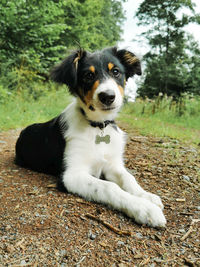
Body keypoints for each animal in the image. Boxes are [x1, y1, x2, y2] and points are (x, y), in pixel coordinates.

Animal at [15, 47, 166, 227]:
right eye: (88, 75)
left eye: (116, 72)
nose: (107, 96)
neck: (98, 126)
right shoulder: (71, 175)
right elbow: (109, 187)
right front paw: (144, 208)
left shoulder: (112, 164)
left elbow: (128, 178)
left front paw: (146, 196)